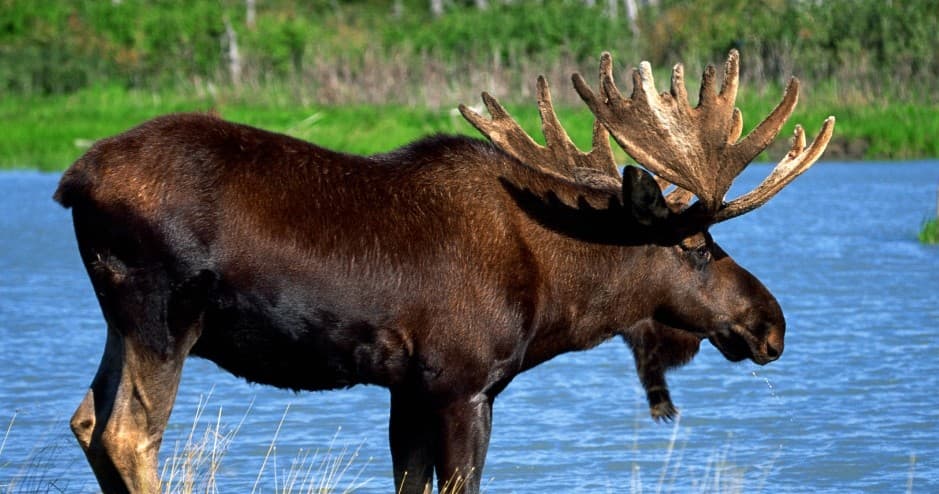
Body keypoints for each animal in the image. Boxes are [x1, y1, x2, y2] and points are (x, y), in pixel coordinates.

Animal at [54, 50, 833, 494]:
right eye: (696, 244)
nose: (771, 323)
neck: (558, 295)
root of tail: (72, 181)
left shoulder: (408, 388)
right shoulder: (464, 384)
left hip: (119, 322)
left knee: (87, 419)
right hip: (163, 316)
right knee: (127, 434)